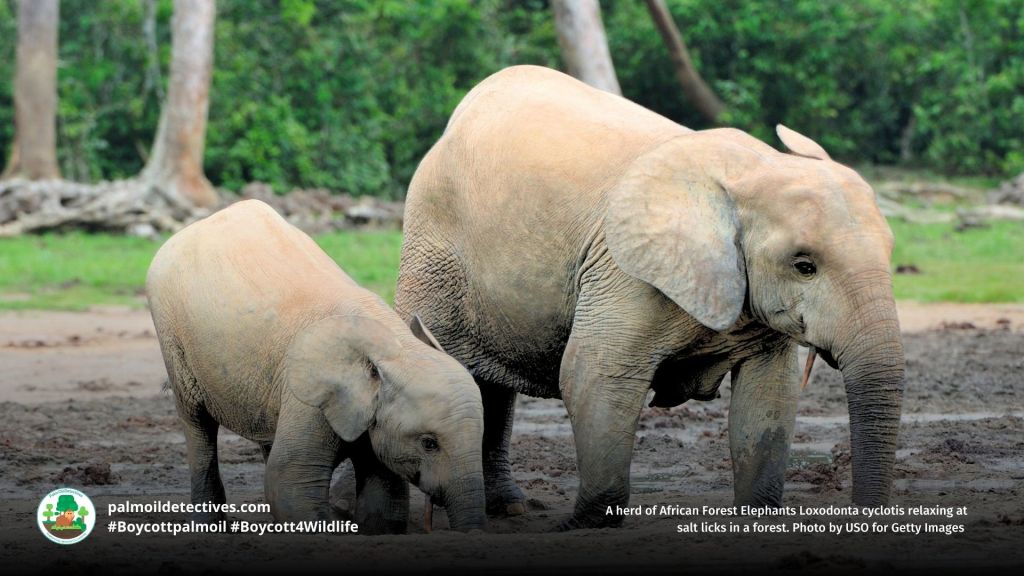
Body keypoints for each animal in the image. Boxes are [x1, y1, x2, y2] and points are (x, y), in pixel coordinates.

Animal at [147, 199, 486, 533]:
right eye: (429, 444)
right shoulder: (310, 394)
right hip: (172, 336)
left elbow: (384, 494)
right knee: (197, 424)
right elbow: (291, 482)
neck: (394, 345)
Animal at [395, 65, 905, 529]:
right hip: (433, 252)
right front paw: (582, 525)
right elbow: (594, 374)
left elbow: (768, 397)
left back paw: (508, 508)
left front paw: (754, 518)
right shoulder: (624, 271)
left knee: (491, 386)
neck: (752, 169)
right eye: (804, 265)